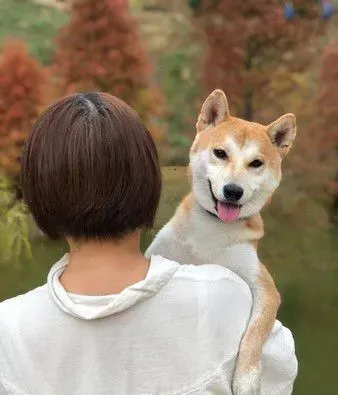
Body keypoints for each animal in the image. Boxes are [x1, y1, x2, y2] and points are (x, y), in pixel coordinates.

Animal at [145, 90, 296, 395]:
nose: (233, 191)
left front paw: (246, 378)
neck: (211, 230)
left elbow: (255, 332)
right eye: (220, 153)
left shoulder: (263, 286)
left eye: (256, 163)